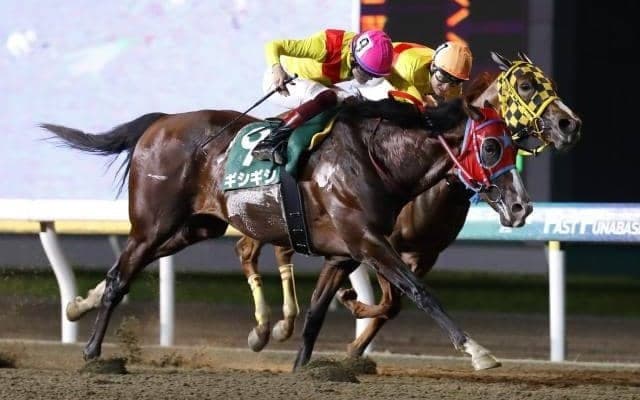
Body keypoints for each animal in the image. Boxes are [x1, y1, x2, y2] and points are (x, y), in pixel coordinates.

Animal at [42, 94, 531, 369]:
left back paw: (77, 305)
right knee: (121, 277)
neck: (377, 159)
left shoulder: (344, 253)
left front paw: (302, 364)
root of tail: (160, 122)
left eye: (516, 144)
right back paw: (91, 351)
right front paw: (478, 352)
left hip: (195, 227)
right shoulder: (369, 242)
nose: (521, 205)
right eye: (492, 146)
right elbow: (419, 291)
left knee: (124, 270)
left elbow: (316, 314)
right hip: (152, 223)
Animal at [229, 51, 582, 366]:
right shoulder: (375, 242)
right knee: (250, 249)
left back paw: (276, 325)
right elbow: (391, 298)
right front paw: (351, 311)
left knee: (270, 249)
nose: (570, 124)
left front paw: (354, 340)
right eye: (526, 85)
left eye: (550, 83)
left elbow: (395, 303)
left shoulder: (424, 254)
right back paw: (267, 327)